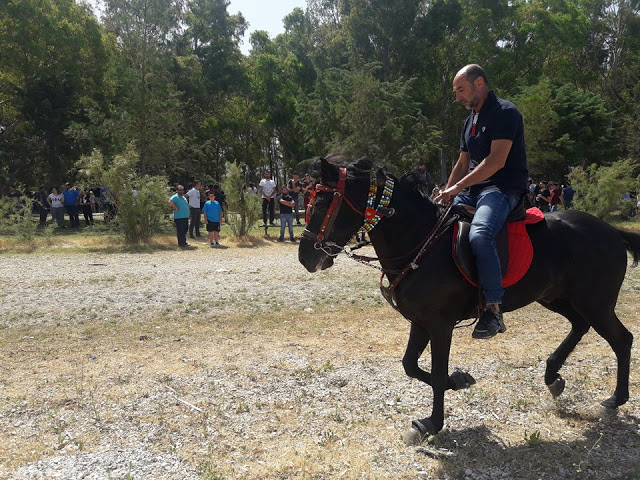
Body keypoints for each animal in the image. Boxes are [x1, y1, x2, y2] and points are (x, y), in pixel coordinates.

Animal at [298, 156, 636, 444]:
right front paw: (459, 380)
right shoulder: (420, 321)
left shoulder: (439, 324)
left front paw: (431, 423)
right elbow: (410, 365)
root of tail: (611, 231)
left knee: (622, 339)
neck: (421, 242)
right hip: (557, 297)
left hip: (595, 302)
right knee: (580, 326)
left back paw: (614, 400)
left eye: (324, 201)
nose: (305, 257)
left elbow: (435, 374)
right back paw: (553, 377)